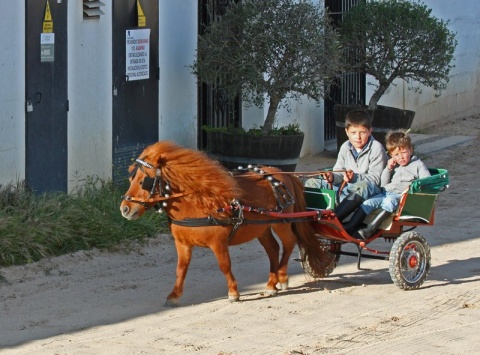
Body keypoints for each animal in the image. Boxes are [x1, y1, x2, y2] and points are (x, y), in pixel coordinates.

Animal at [121, 140, 330, 308]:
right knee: (273, 248)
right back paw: (272, 284)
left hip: (282, 222)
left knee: (288, 243)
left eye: (144, 181)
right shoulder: (182, 244)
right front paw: (174, 296)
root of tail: (282, 174)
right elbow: (181, 269)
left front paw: (233, 293)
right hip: (261, 227)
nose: (124, 209)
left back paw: (283, 277)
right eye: (131, 178)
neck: (199, 202)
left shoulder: (218, 242)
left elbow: (224, 265)